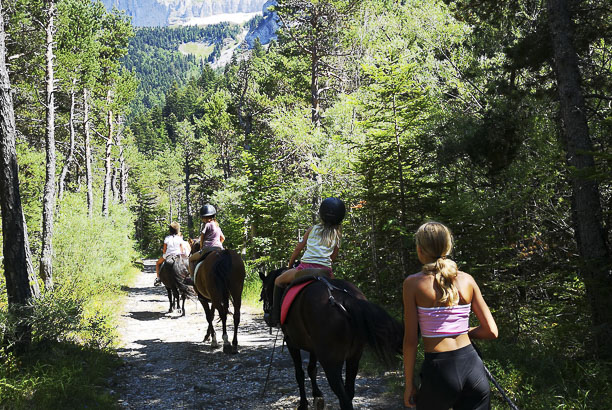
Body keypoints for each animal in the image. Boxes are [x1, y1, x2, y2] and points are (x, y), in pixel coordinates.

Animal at [260, 270, 404, 410]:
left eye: (264, 289)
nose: (267, 316)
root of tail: (346, 299)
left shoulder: (291, 343)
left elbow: (299, 373)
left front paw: (303, 404)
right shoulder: (314, 348)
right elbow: (312, 369)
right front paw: (317, 396)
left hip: (330, 363)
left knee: (344, 399)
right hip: (354, 358)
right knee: (348, 393)